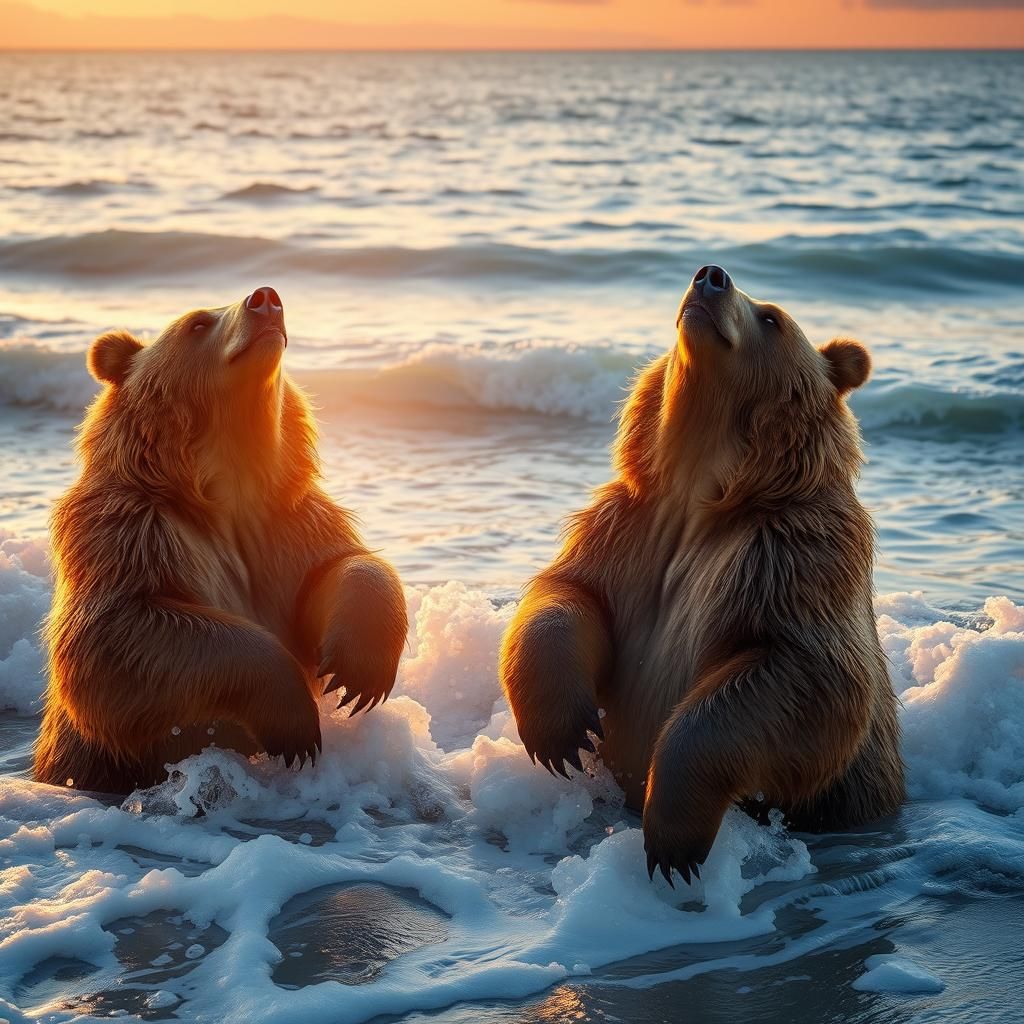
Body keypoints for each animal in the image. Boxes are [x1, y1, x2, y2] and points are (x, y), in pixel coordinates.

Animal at [34, 286, 408, 795]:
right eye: (196, 323)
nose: (265, 298)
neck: (227, 488)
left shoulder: (285, 527)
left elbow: (340, 567)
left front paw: (356, 675)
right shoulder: (131, 533)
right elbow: (114, 637)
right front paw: (294, 722)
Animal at [500, 265, 904, 885]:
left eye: (772, 317)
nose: (711, 276)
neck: (699, 491)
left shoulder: (790, 558)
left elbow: (800, 677)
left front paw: (672, 839)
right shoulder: (628, 533)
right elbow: (566, 593)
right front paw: (563, 734)